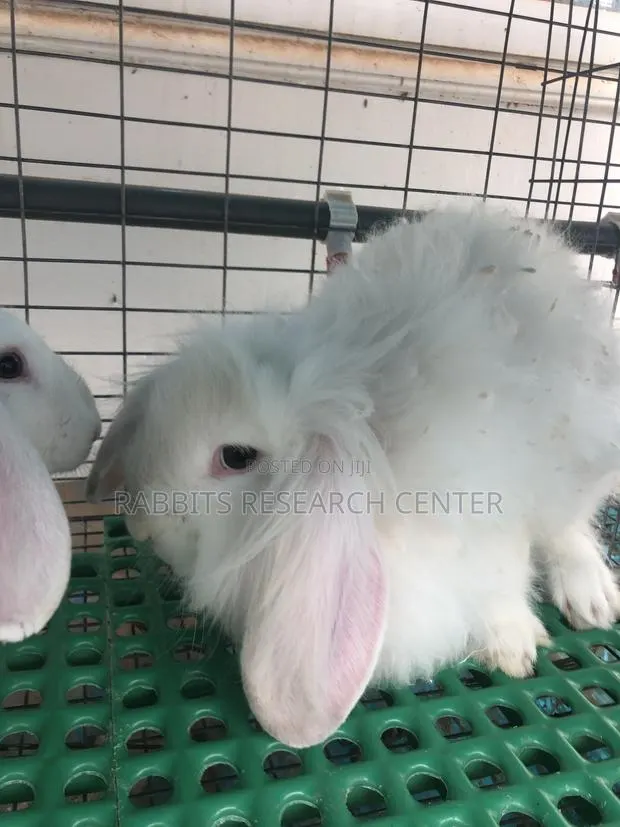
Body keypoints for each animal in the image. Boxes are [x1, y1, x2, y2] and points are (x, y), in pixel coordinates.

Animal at [86, 199, 620, 749]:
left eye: (235, 457)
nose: (143, 528)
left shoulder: (490, 528)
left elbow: (503, 583)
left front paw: (511, 647)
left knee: (569, 528)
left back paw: (592, 599)